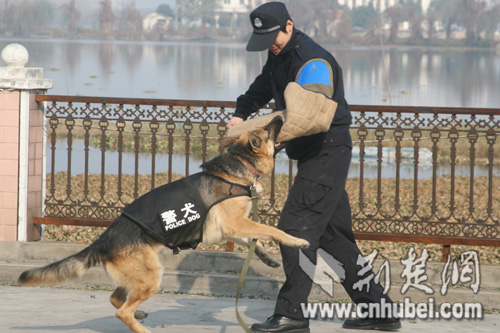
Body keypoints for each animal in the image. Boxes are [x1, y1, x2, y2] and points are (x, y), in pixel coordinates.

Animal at [18, 116, 308, 332]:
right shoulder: (235, 223)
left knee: (116, 298)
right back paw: (141, 326)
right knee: (123, 311)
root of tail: (105, 239)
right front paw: (296, 241)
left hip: (140, 276)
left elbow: (253, 241)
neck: (240, 163)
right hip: (151, 276)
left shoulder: (227, 230)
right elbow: (272, 230)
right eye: (269, 130)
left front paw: (267, 258)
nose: (280, 116)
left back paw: (140, 314)